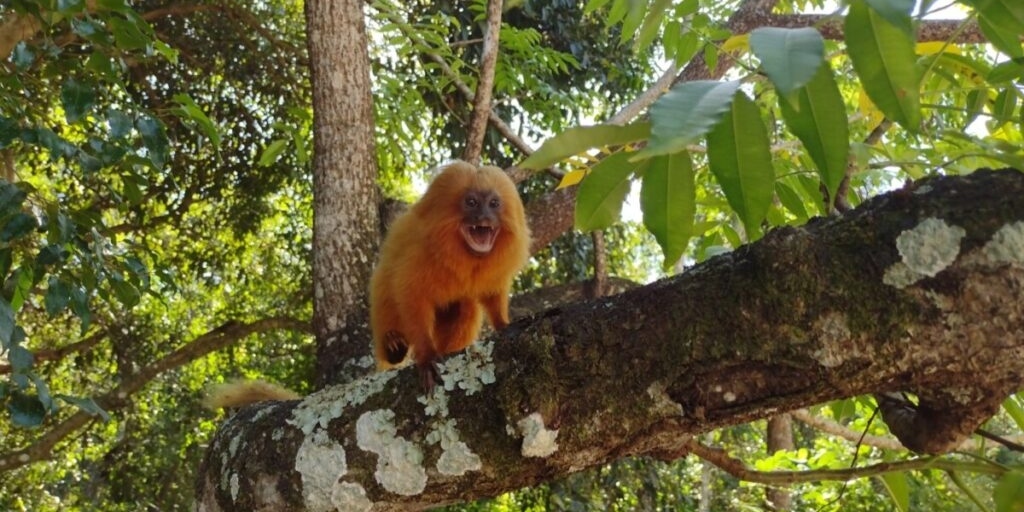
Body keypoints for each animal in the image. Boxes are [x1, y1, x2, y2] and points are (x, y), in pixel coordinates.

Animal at [372, 159, 532, 387]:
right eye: (472, 202)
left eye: (494, 203)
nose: (485, 217)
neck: (464, 254)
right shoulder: (419, 252)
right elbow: (411, 296)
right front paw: (427, 354)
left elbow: (492, 292)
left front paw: (502, 323)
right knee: (386, 289)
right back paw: (394, 347)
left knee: (466, 306)